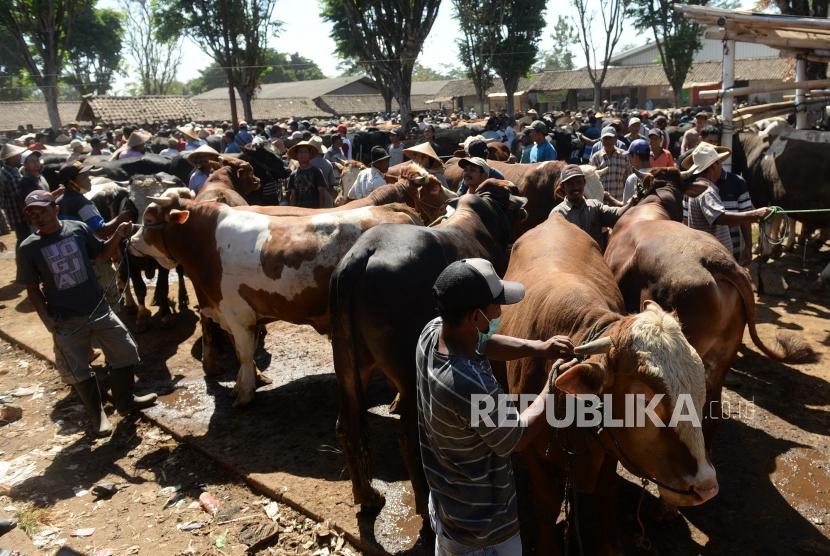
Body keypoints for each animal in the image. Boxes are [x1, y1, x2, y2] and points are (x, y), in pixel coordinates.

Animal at [133, 188, 426, 404]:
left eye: (149, 220)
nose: (131, 240)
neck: (205, 243)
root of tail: (391, 208)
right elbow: (243, 353)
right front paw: (248, 383)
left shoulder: (236, 315)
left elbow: (244, 354)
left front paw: (244, 394)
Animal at [330, 180, 528, 524]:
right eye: (511, 191)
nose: (525, 204)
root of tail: (360, 257)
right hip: (408, 372)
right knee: (409, 437)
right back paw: (423, 505)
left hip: (347, 366)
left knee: (347, 426)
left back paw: (368, 496)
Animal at [498, 212, 720, 552]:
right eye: (644, 400)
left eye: (700, 389)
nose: (706, 485)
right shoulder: (534, 455)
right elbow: (547, 505)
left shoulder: (607, 455)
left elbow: (606, 498)